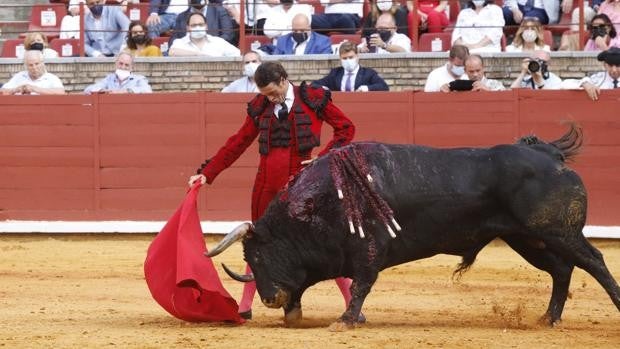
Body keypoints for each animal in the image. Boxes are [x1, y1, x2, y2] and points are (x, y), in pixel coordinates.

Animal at [208, 123, 620, 328]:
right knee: (562, 270)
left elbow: (361, 285)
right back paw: (548, 318)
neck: (321, 202)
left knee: (594, 262)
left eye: (259, 256)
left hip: (559, 232)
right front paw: (298, 314)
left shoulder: (368, 250)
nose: (269, 298)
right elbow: (320, 283)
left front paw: (345, 321)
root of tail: (549, 154)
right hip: (527, 238)